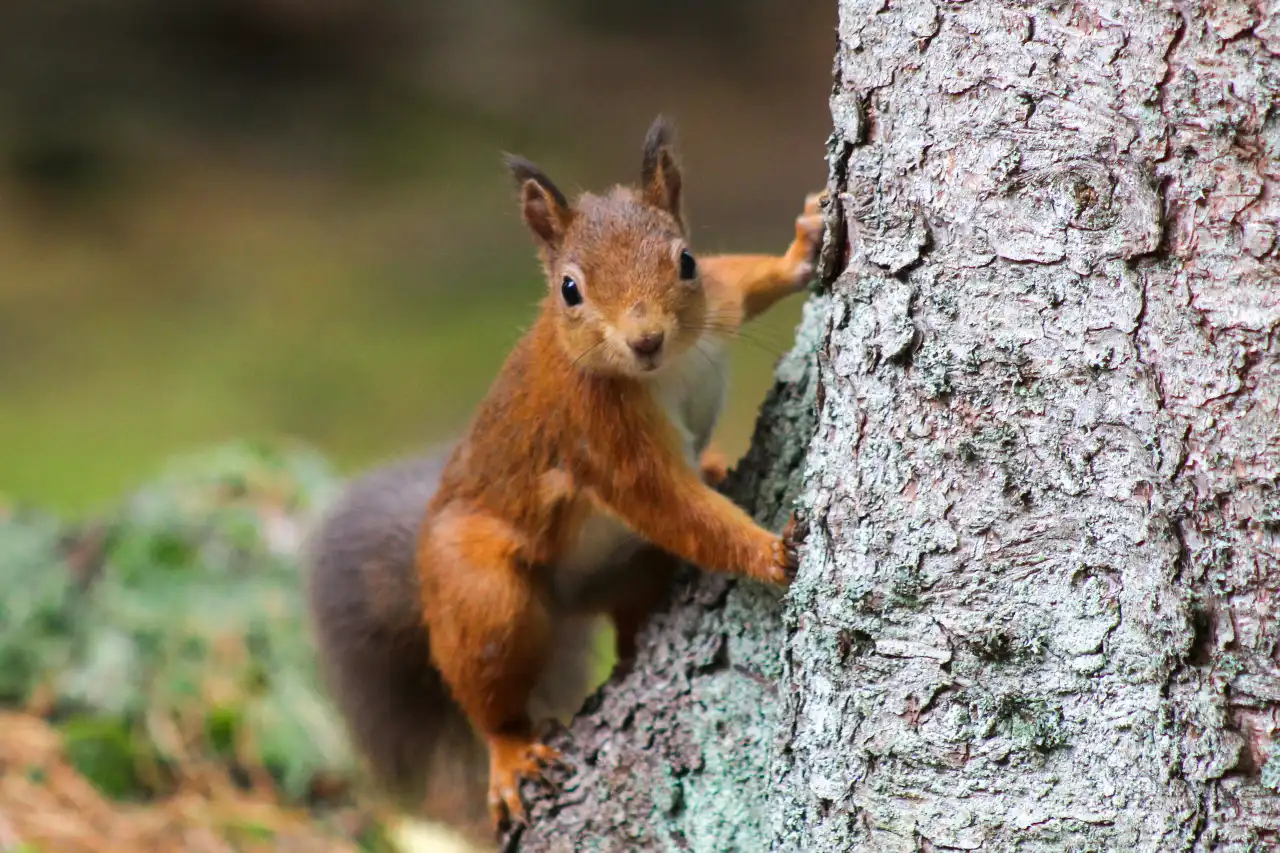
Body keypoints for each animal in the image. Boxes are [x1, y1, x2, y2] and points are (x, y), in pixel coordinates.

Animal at [304, 114, 824, 835]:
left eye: (685, 261)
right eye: (569, 290)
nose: (645, 339)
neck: (664, 370)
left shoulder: (716, 303)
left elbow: (742, 278)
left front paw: (803, 246)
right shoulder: (600, 436)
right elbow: (672, 505)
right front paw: (770, 552)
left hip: (632, 571)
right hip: (482, 594)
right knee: (488, 687)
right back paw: (511, 754)